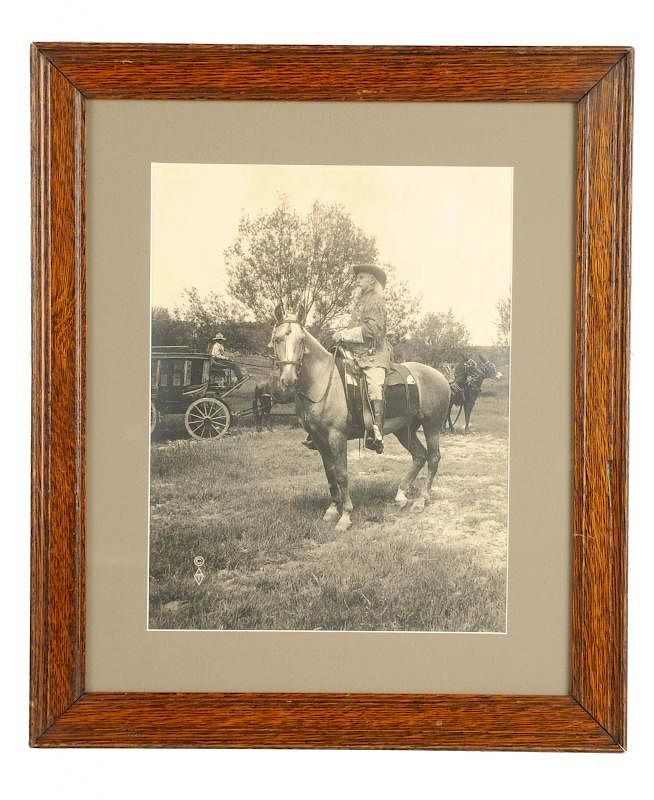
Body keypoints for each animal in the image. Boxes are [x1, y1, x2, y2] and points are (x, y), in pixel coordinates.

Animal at [270, 304, 452, 532]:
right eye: (278, 339)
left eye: (301, 340)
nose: (288, 379)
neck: (323, 381)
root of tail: (440, 376)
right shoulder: (319, 439)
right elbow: (330, 473)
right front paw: (332, 510)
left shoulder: (336, 436)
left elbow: (342, 474)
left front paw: (345, 516)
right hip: (404, 429)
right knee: (419, 456)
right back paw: (401, 496)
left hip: (432, 426)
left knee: (434, 458)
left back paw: (421, 500)